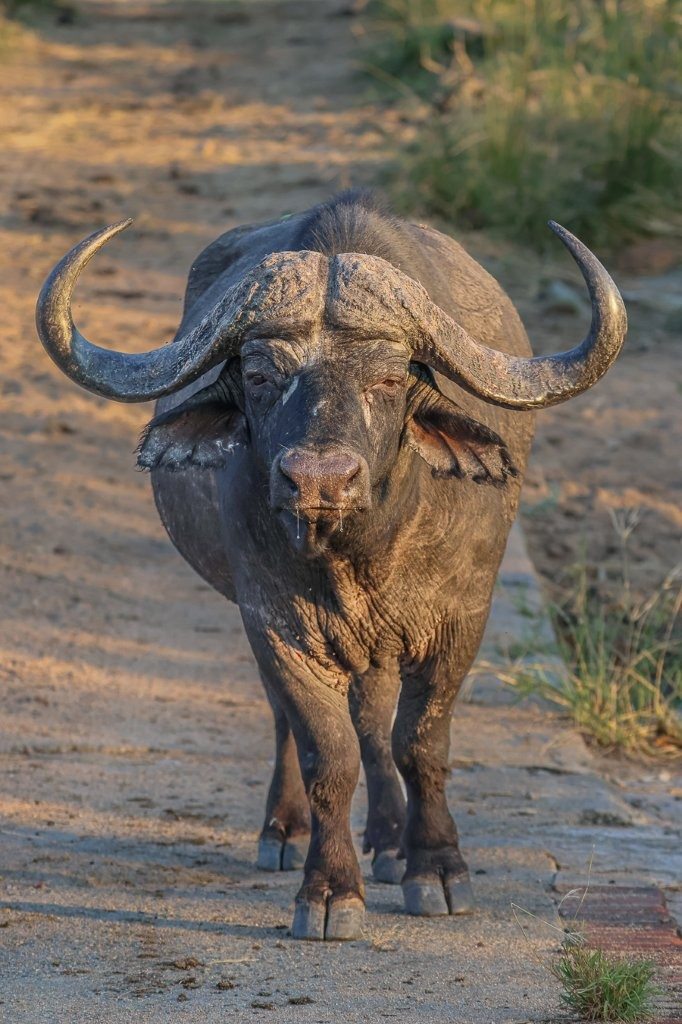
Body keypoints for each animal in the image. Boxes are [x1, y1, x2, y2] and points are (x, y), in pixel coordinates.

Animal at [36, 191, 626, 940]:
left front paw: (436, 869)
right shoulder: (275, 624)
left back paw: (392, 841)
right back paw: (288, 831)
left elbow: (420, 743)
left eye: (389, 378)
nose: (319, 480)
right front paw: (329, 890)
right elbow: (328, 752)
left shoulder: (462, 621)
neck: (361, 553)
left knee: (377, 721)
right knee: (302, 722)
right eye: (262, 376)